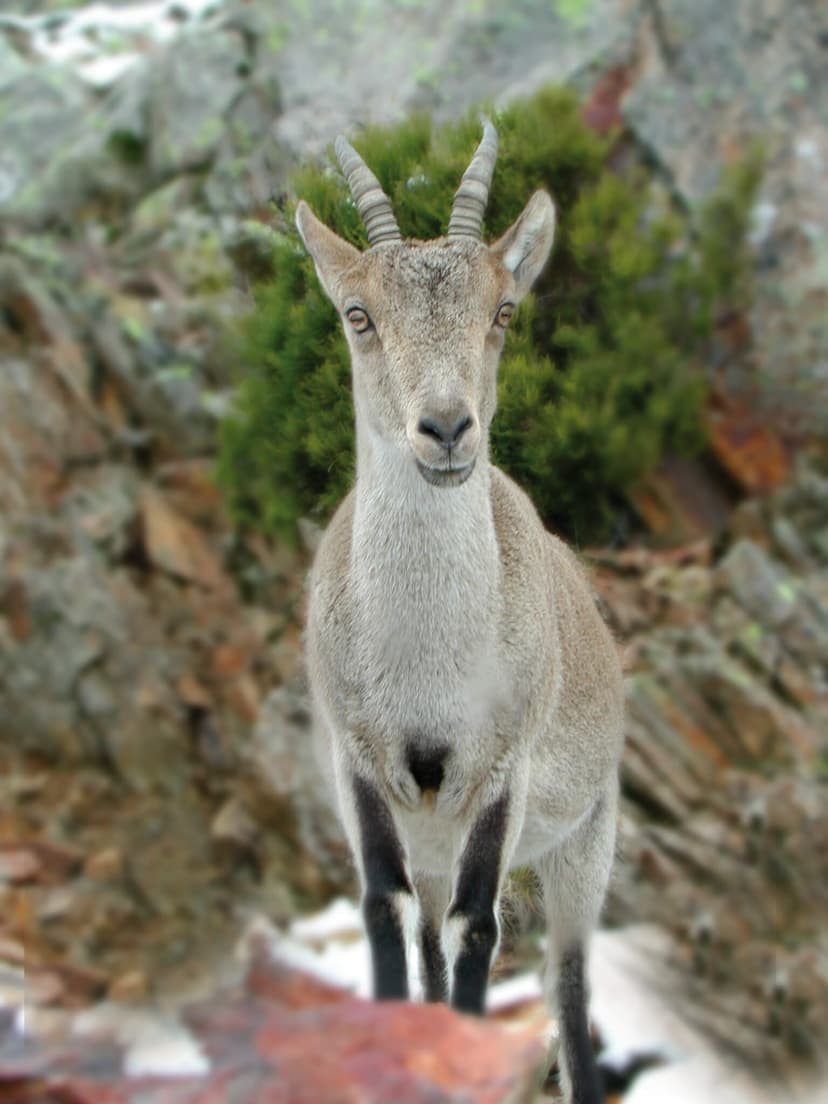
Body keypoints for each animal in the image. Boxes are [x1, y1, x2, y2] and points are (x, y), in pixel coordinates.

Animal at [296, 121, 625, 1104]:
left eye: (503, 311)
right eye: (358, 314)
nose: (445, 430)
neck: (425, 664)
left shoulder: (499, 770)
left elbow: (478, 929)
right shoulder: (361, 761)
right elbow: (387, 913)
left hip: (587, 839)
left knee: (565, 977)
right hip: (433, 832)